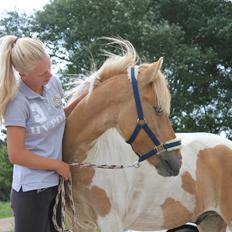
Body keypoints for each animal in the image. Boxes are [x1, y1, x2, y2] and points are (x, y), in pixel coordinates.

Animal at [62, 39, 232, 231]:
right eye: (158, 109)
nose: (177, 161)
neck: (91, 159)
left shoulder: (111, 221)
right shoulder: (80, 224)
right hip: (211, 220)